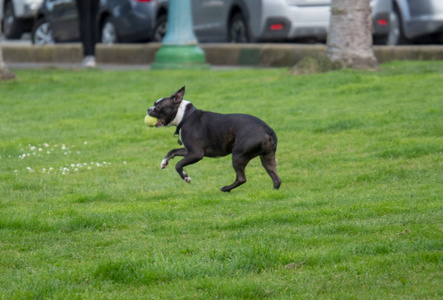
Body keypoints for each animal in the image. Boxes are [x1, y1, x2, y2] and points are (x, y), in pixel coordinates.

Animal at [148, 85, 280, 192]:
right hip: (266, 157)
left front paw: (186, 177)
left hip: (238, 155)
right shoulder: (189, 151)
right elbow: (173, 151)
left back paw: (226, 188)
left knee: (241, 178)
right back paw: (273, 191)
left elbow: (178, 165)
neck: (185, 116)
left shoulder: (196, 154)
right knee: (276, 178)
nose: (148, 109)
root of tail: (267, 129)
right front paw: (164, 162)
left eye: (158, 106)